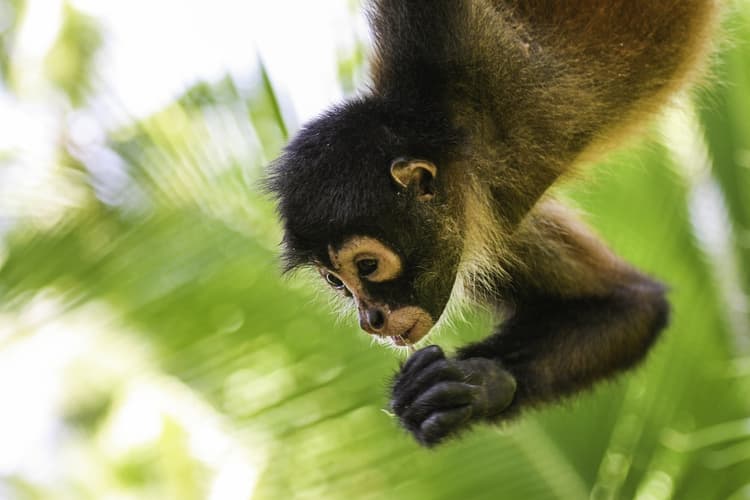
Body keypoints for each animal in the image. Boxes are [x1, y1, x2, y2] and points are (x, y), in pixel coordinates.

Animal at [265, 0, 720, 447]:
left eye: (367, 266)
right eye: (336, 282)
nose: (370, 318)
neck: (460, 132)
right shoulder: (483, 218)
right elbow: (632, 307)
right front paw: (480, 384)